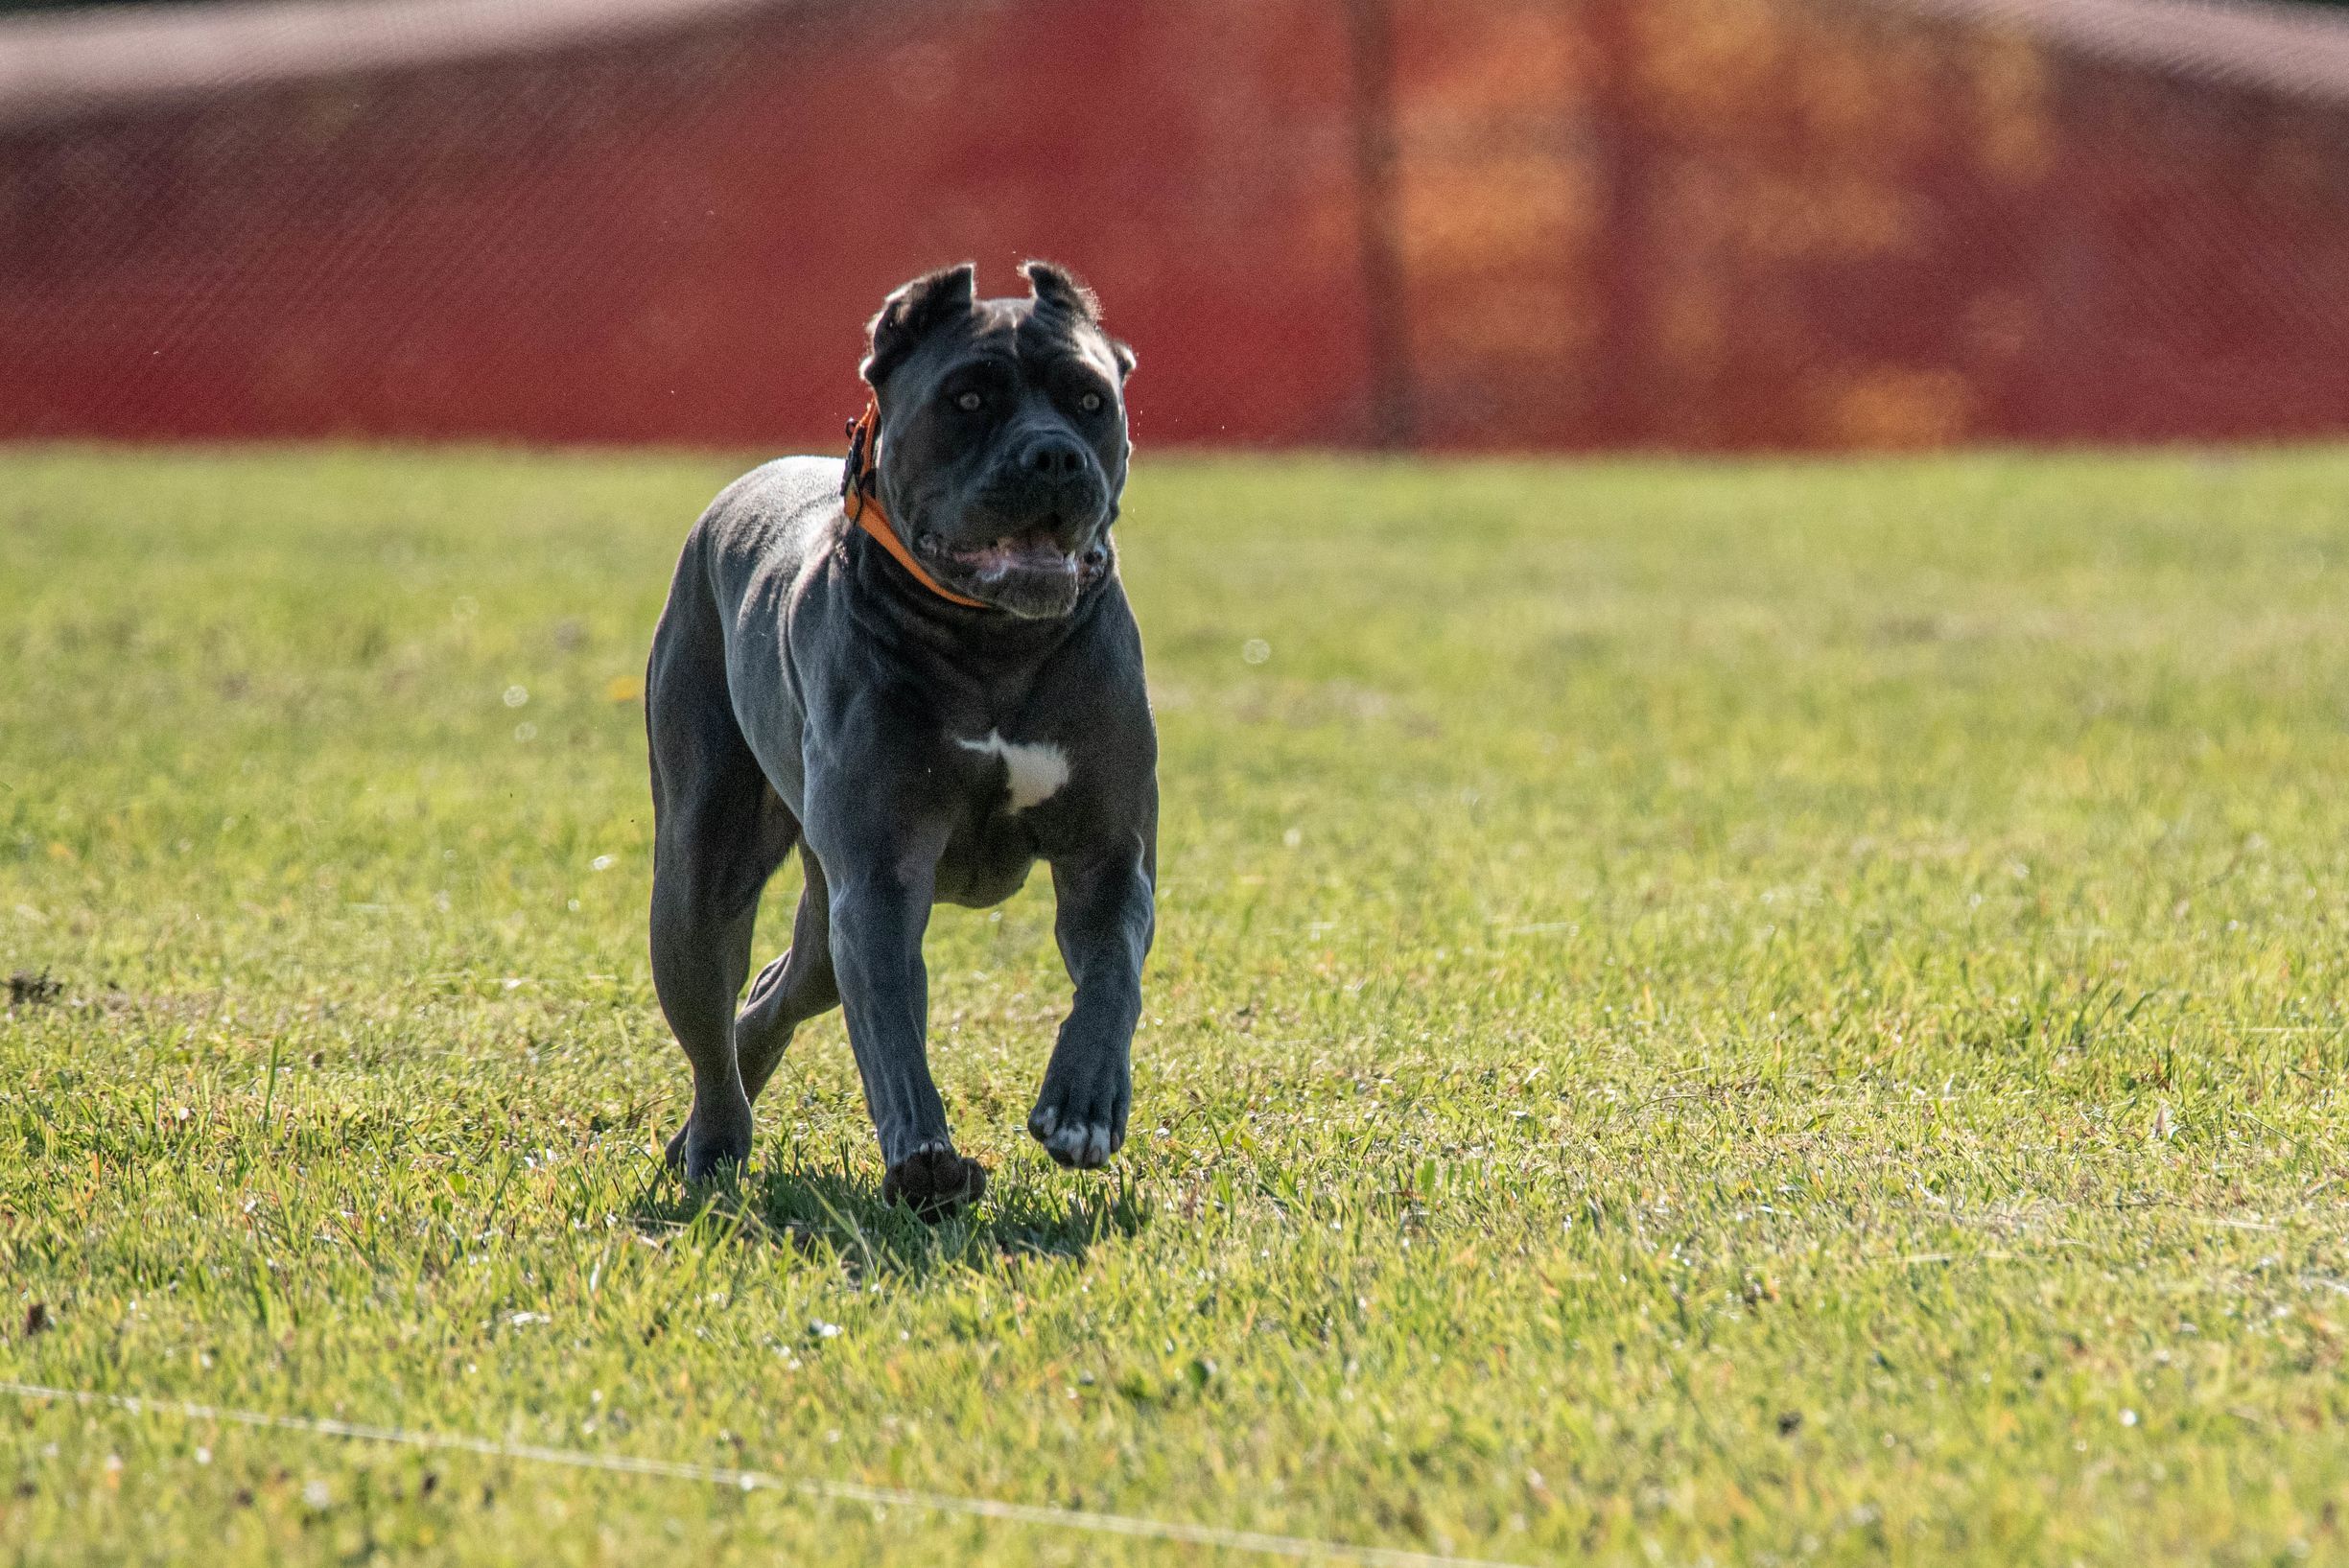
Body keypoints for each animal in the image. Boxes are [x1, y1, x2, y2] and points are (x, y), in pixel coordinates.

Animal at [644, 257, 1155, 1220]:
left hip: (813, 919)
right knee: (714, 1017)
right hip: (697, 878)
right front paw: (924, 1160)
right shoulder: (878, 878)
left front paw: (1083, 1107)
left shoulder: (1107, 857)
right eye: (968, 399)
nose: (1054, 454)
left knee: (770, 995)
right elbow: (888, 1022)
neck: (993, 641)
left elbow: (1111, 979)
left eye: (1088, 399)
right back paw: (715, 1144)